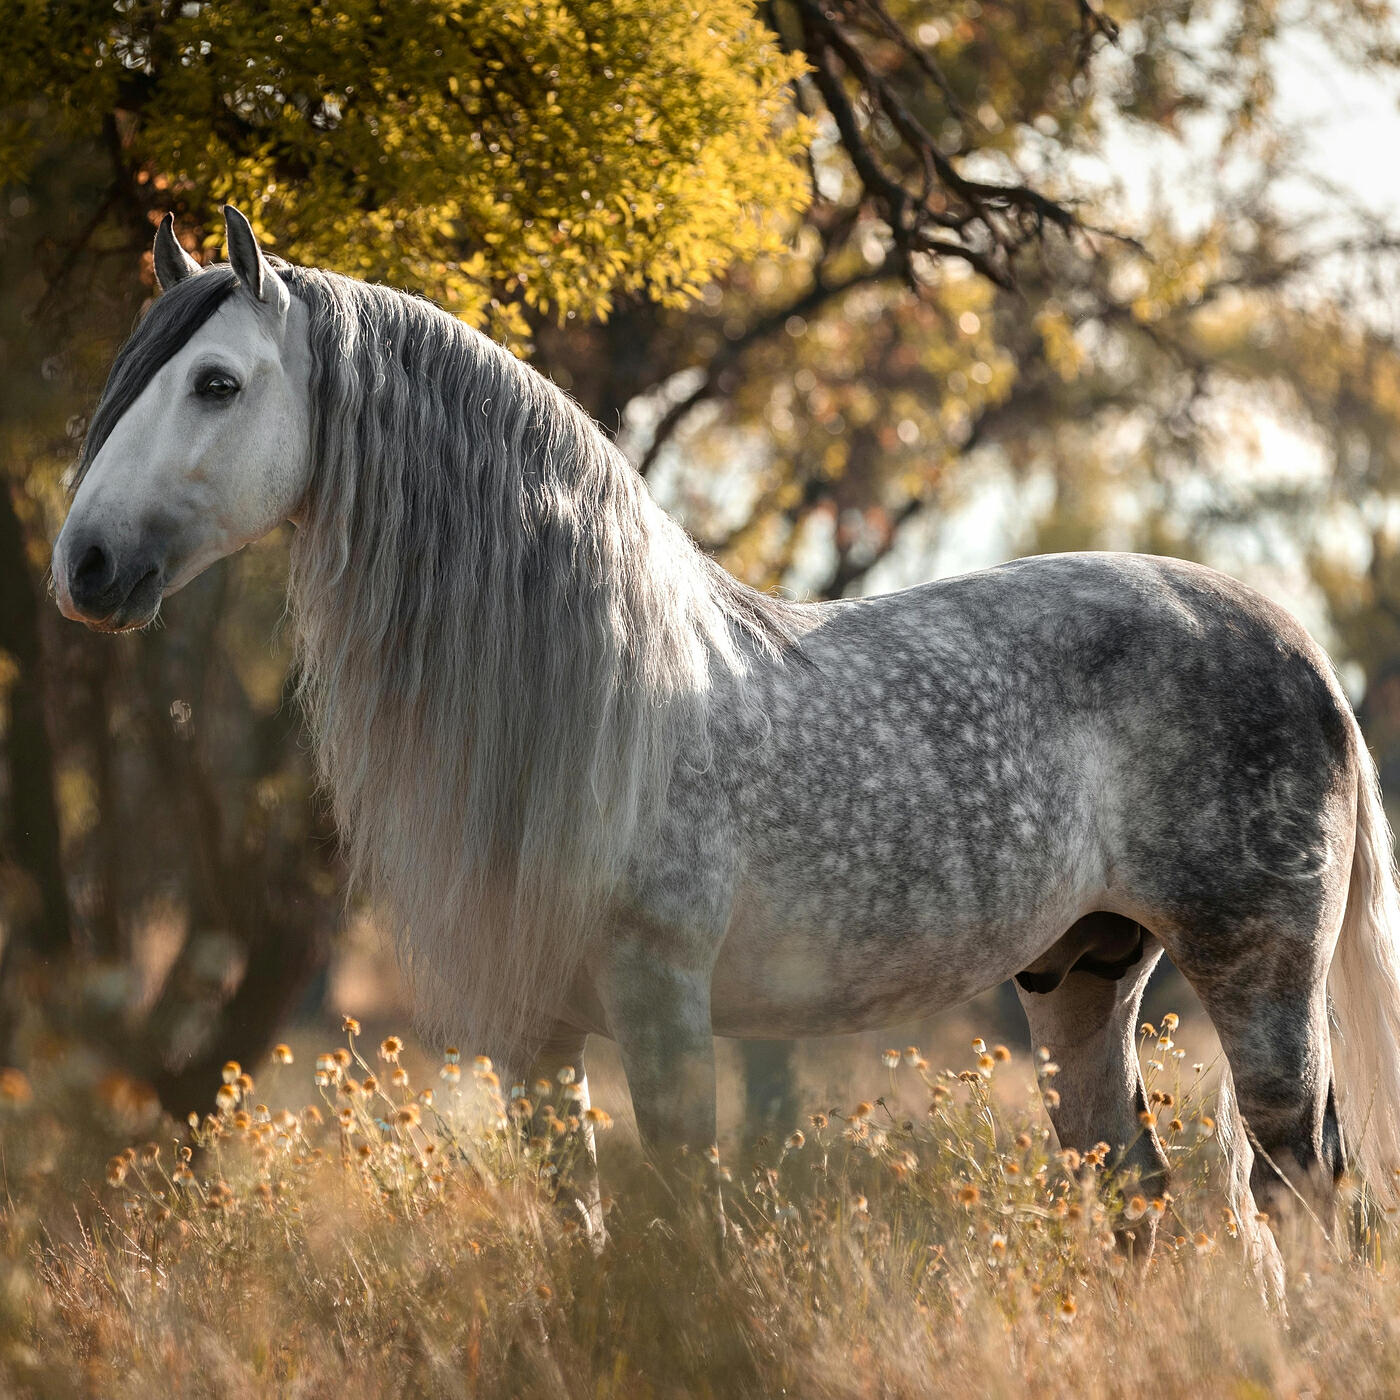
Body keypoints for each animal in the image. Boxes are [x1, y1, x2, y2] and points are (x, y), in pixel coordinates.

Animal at [52, 207, 1400, 1259]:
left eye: (216, 382)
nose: (84, 565)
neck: (592, 697)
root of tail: (1297, 647)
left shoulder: (660, 1002)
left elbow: (682, 1234)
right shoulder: (530, 1033)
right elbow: (585, 1234)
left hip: (1257, 980)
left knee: (1302, 1191)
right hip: (1081, 973)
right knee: (1137, 1188)